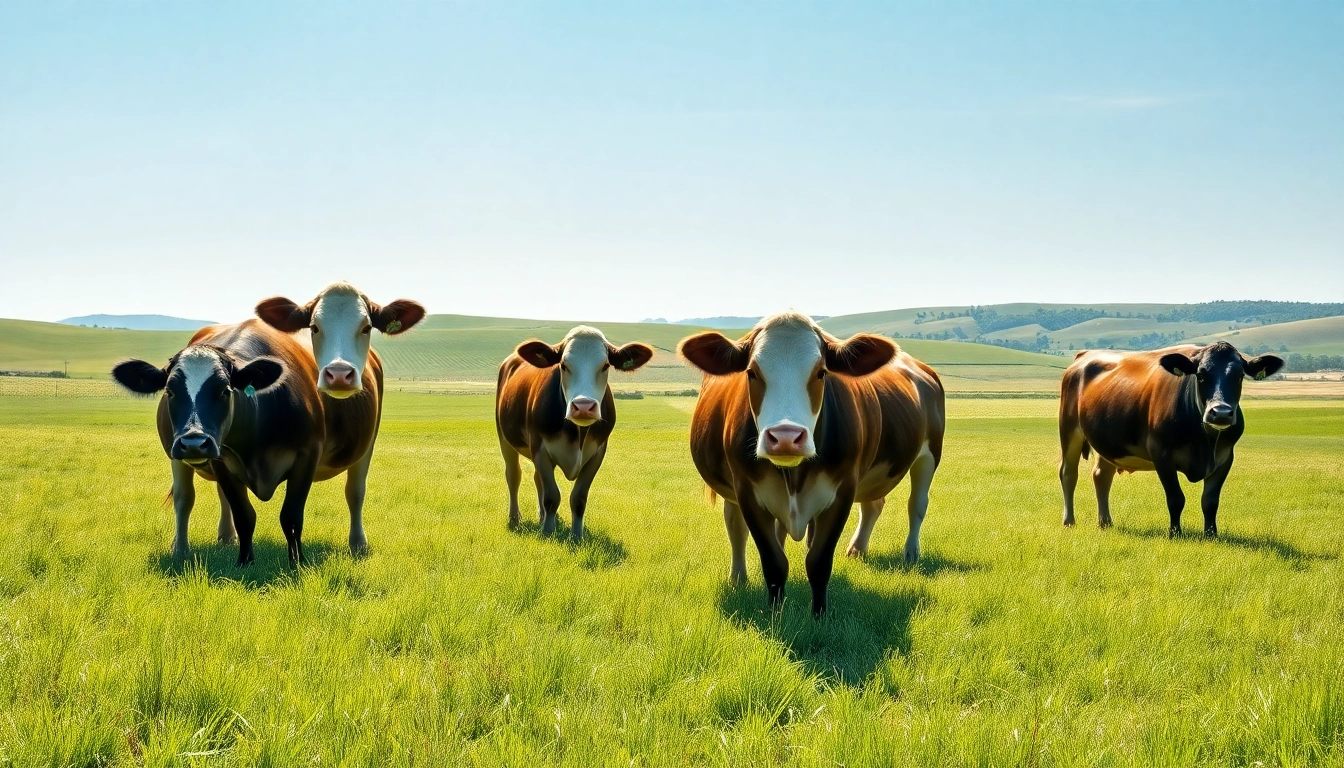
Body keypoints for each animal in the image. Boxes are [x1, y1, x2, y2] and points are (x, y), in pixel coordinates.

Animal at [112, 322, 321, 565]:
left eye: (225, 391)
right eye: (169, 391)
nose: (194, 442)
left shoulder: (308, 455)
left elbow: (291, 516)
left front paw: (297, 562)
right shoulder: (217, 459)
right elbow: (243, 514)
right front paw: (245, 562)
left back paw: (226, 537)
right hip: (178, 457)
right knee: (184, 498)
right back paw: (181, 548)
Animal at [254, 282, 426, 555]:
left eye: (366, 327)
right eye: (314, 327)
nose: (338, 374)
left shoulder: (367, 442)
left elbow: (355, 491)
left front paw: (358, 544)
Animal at [495, 326, 654, 540]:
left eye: (605, 365)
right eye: (563, 365)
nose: (584, 406)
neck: (578, 433)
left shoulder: (598, 452)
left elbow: (578, 498)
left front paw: (577, 535)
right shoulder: (540, 448)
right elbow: (552, 496)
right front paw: (548, 532)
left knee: (537, 479)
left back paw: (542, 517)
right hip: (504, 438)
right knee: (513, 475)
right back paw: (514, 518)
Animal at [679, 311, 946, 616]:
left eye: (821, 372)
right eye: (751, 372)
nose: (785, 437)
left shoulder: (843, 490)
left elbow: (818, 561)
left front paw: (819, 616)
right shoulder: (746, 489)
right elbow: (774, 560)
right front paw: (776, 614)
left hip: (928, 454)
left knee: (916, 504)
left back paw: (910, 553)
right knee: (737, 525)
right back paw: (742, 578)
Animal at [1058, 341, 1284, 537]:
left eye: (1240, 376)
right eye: (1201, 375)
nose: (1220, 413)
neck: (1204, 442)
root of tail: (1084, 355)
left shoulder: (1225, 457)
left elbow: (1210, 501)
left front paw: (1211, 535)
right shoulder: (1161, 453)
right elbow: (1176, 498)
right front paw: (1175, 533)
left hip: (1109, 443)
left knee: (1101, 476)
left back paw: (1105, 523)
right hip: (1069, 428)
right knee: (1069, 474)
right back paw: (1069, 522)